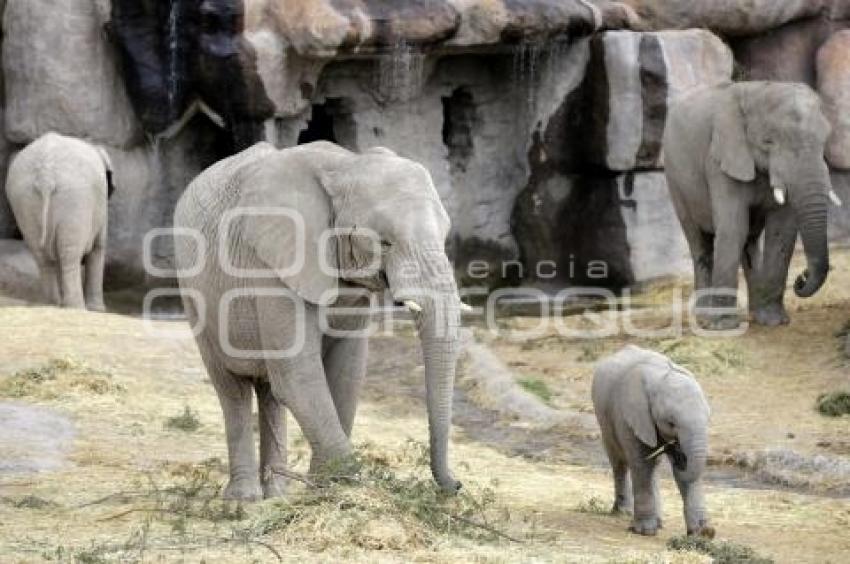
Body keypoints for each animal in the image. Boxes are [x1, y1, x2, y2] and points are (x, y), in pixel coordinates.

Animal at [4, 132, 115, 310]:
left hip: (23, 199)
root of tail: (46, 176)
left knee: (42, 256)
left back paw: (51, 304)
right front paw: (98, 310)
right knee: (70, 255)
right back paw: (76, 307)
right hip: (75, 199)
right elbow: (98, 247)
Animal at [173, 140, 464, 498]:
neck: (346, 164)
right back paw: (243, 501)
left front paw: (324, 491)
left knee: (270, 391)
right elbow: (300, 376)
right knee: (234, 388)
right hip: (195, 295)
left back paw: (277, 495)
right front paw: (344, 487)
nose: (456, 485)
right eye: (385, 241)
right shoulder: (272, 264)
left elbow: (346, 372)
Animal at [588, 344, 716, 536]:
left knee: (653, 466)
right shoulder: (631, 416)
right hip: (604, 420)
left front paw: (702, 534)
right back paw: (623, 513)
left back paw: (659, 522)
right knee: (620, 462)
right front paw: (645, 531)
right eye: (671, 423)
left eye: (708, 419)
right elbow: (641, 464)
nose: (679, 458)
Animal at [664, 81, 836, 328]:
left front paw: (775, 322)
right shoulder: (719, 161)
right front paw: (724, 326)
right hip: (675, 181)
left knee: (750, 242)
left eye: (825, 139)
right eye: (768, 141)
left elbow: (782, 230)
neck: (755, 91)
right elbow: (733, 228)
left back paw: (756, 314)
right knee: (700, 243)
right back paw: (705, 318)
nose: (801, 279)